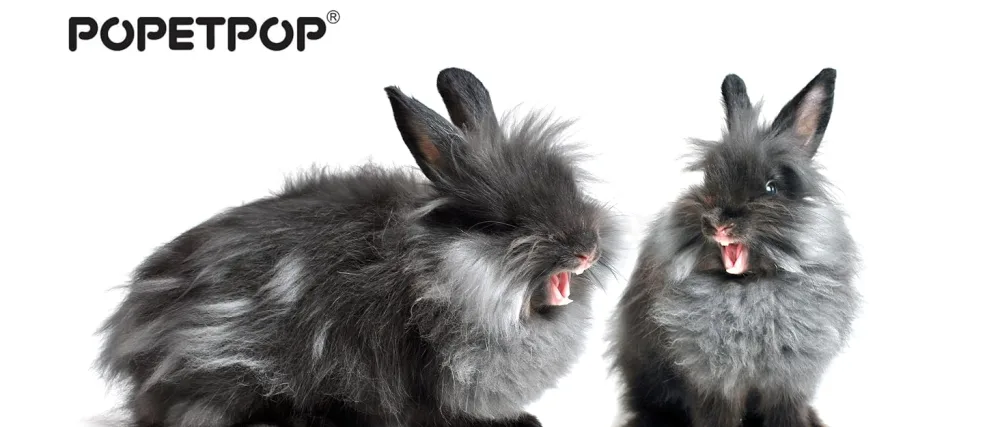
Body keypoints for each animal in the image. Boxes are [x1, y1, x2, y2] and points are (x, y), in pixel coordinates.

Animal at [609, 69, 860, 427]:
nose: (717, 223)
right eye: (708, 180)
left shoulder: (788, 383)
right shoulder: (713, 383)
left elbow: (787, 413)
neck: (747, 289)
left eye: (771, 188)